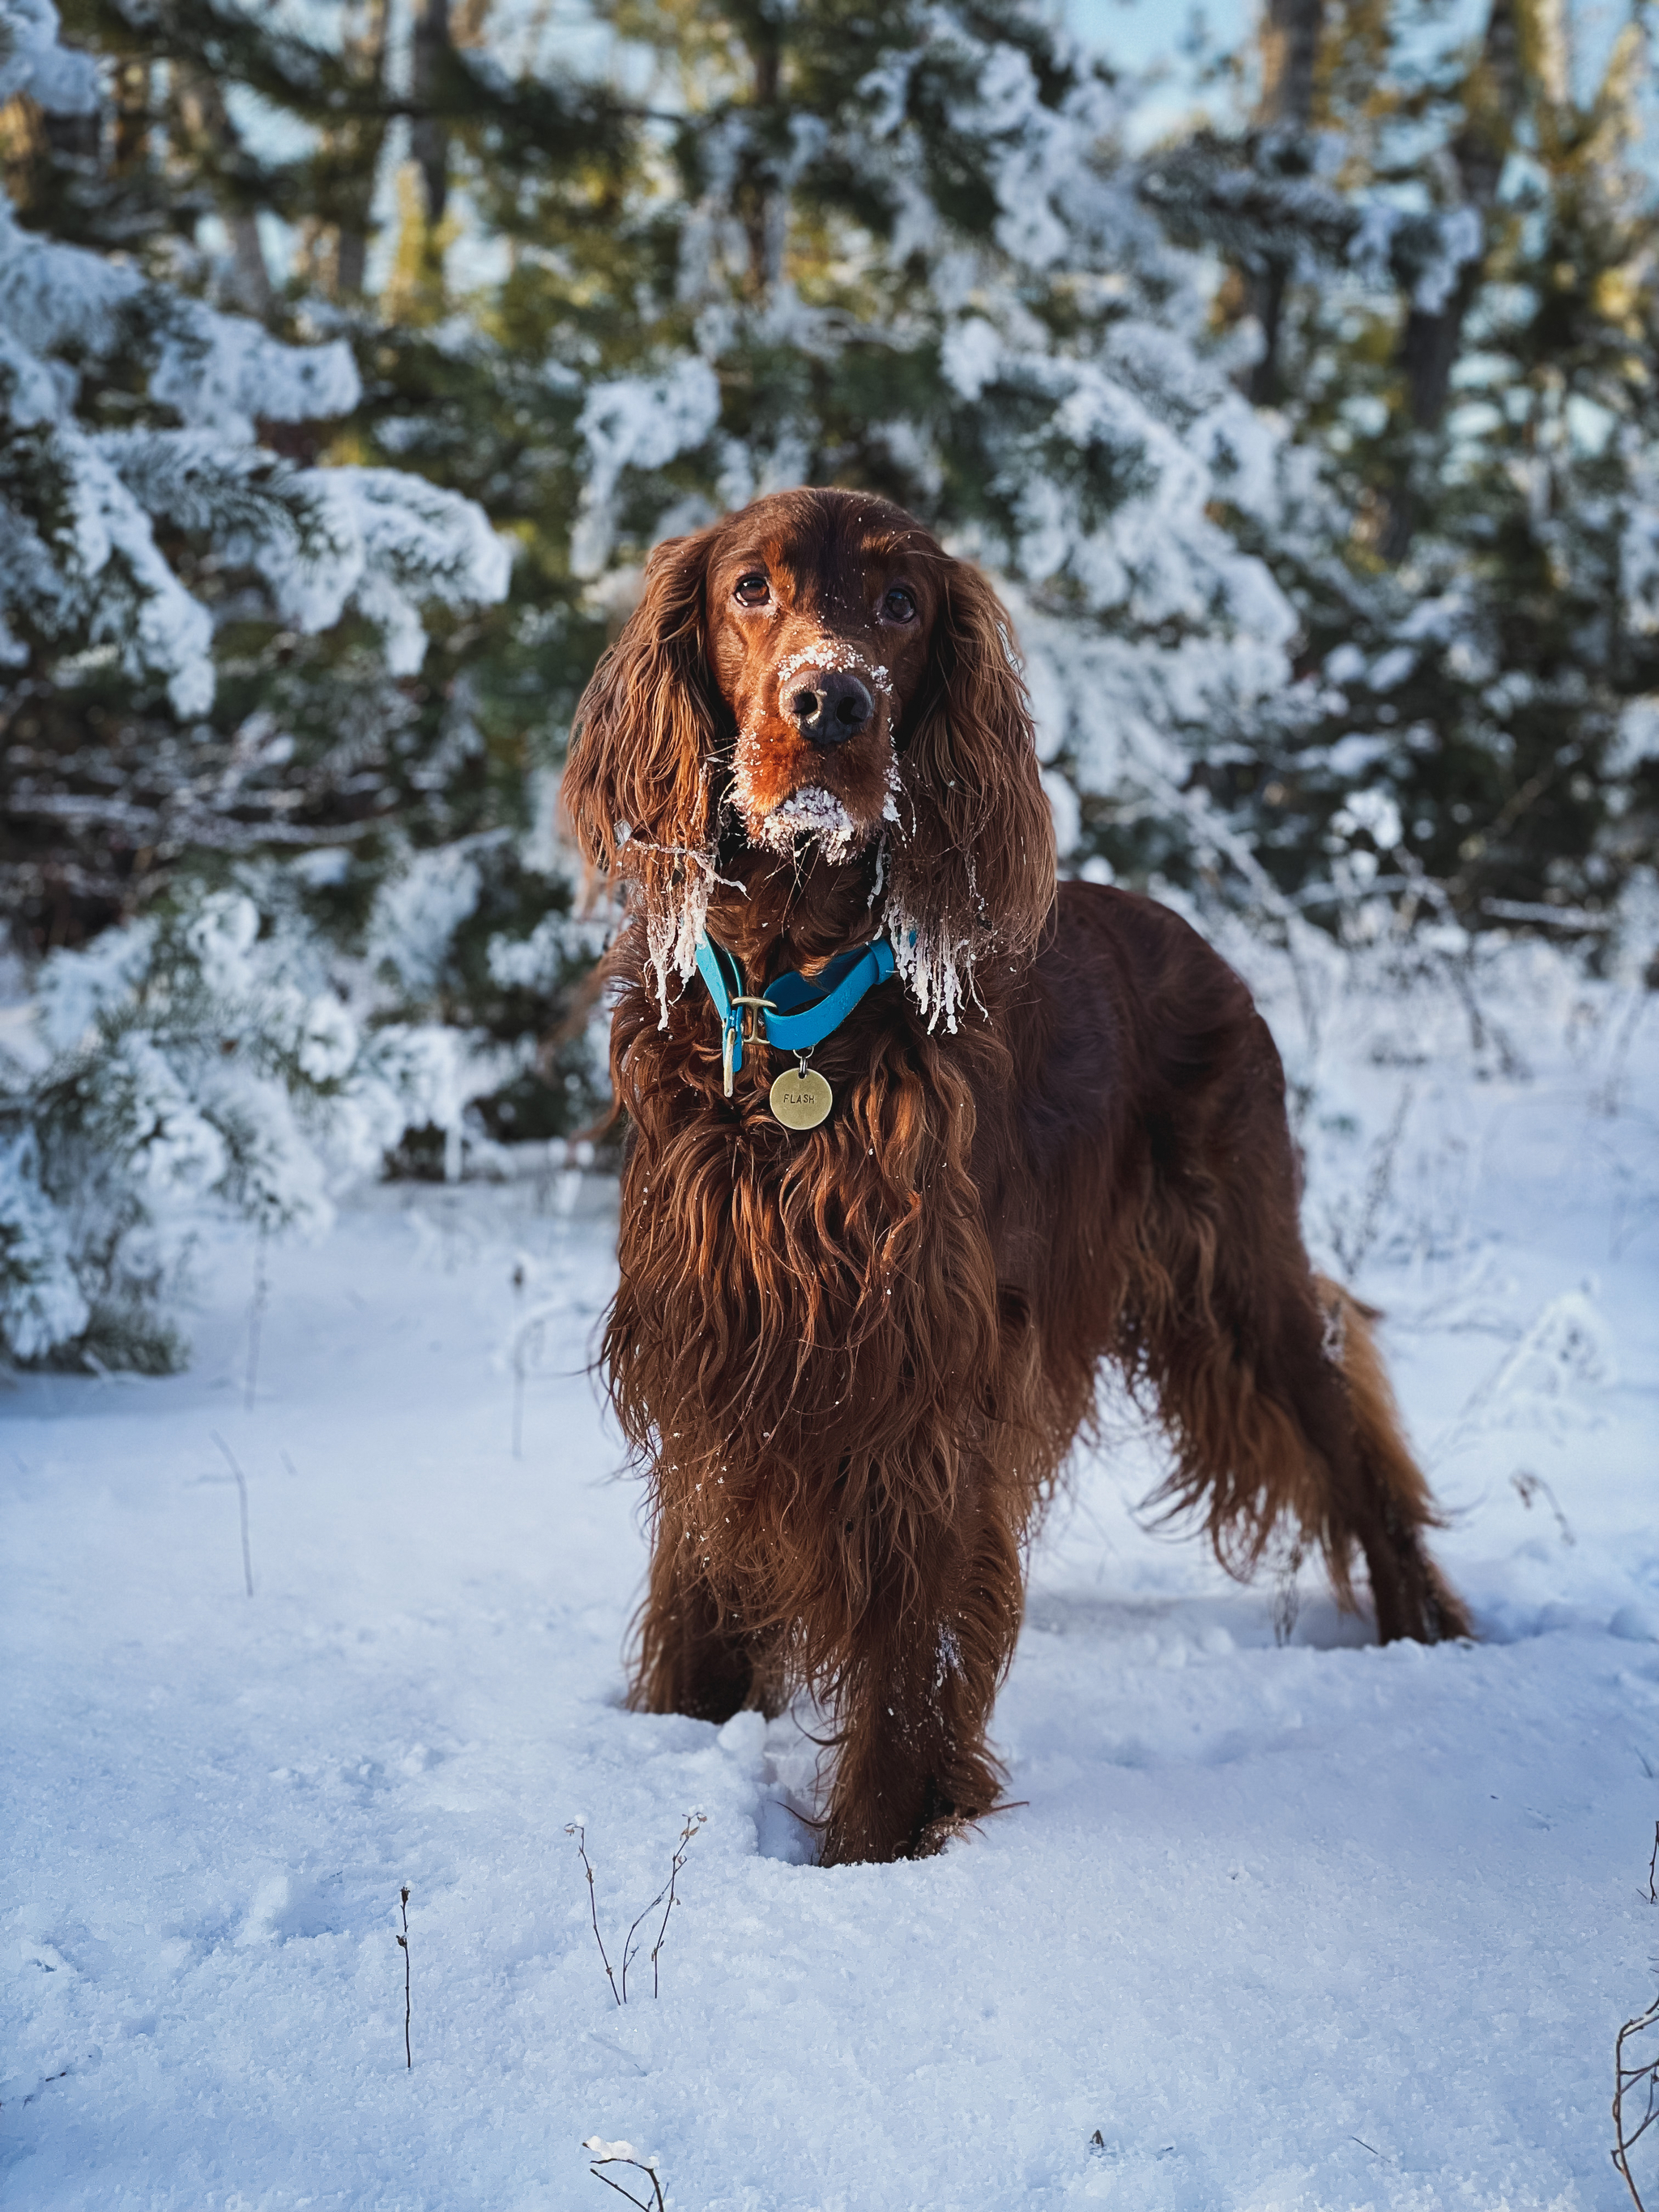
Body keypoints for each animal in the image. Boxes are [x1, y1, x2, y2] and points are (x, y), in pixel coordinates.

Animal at [566, 484, 1478, 1866]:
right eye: (750, 588)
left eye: (901, 603)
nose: (831, 704)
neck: (796, 1006)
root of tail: (1197, 937)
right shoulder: (718, 1339)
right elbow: (702, 1581)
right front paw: (680, 1733)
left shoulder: (925, 1374)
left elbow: (908, 1649)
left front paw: (876, 1850)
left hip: (1242, 1269)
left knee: (1350, 1430)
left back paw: (1436, 1635)